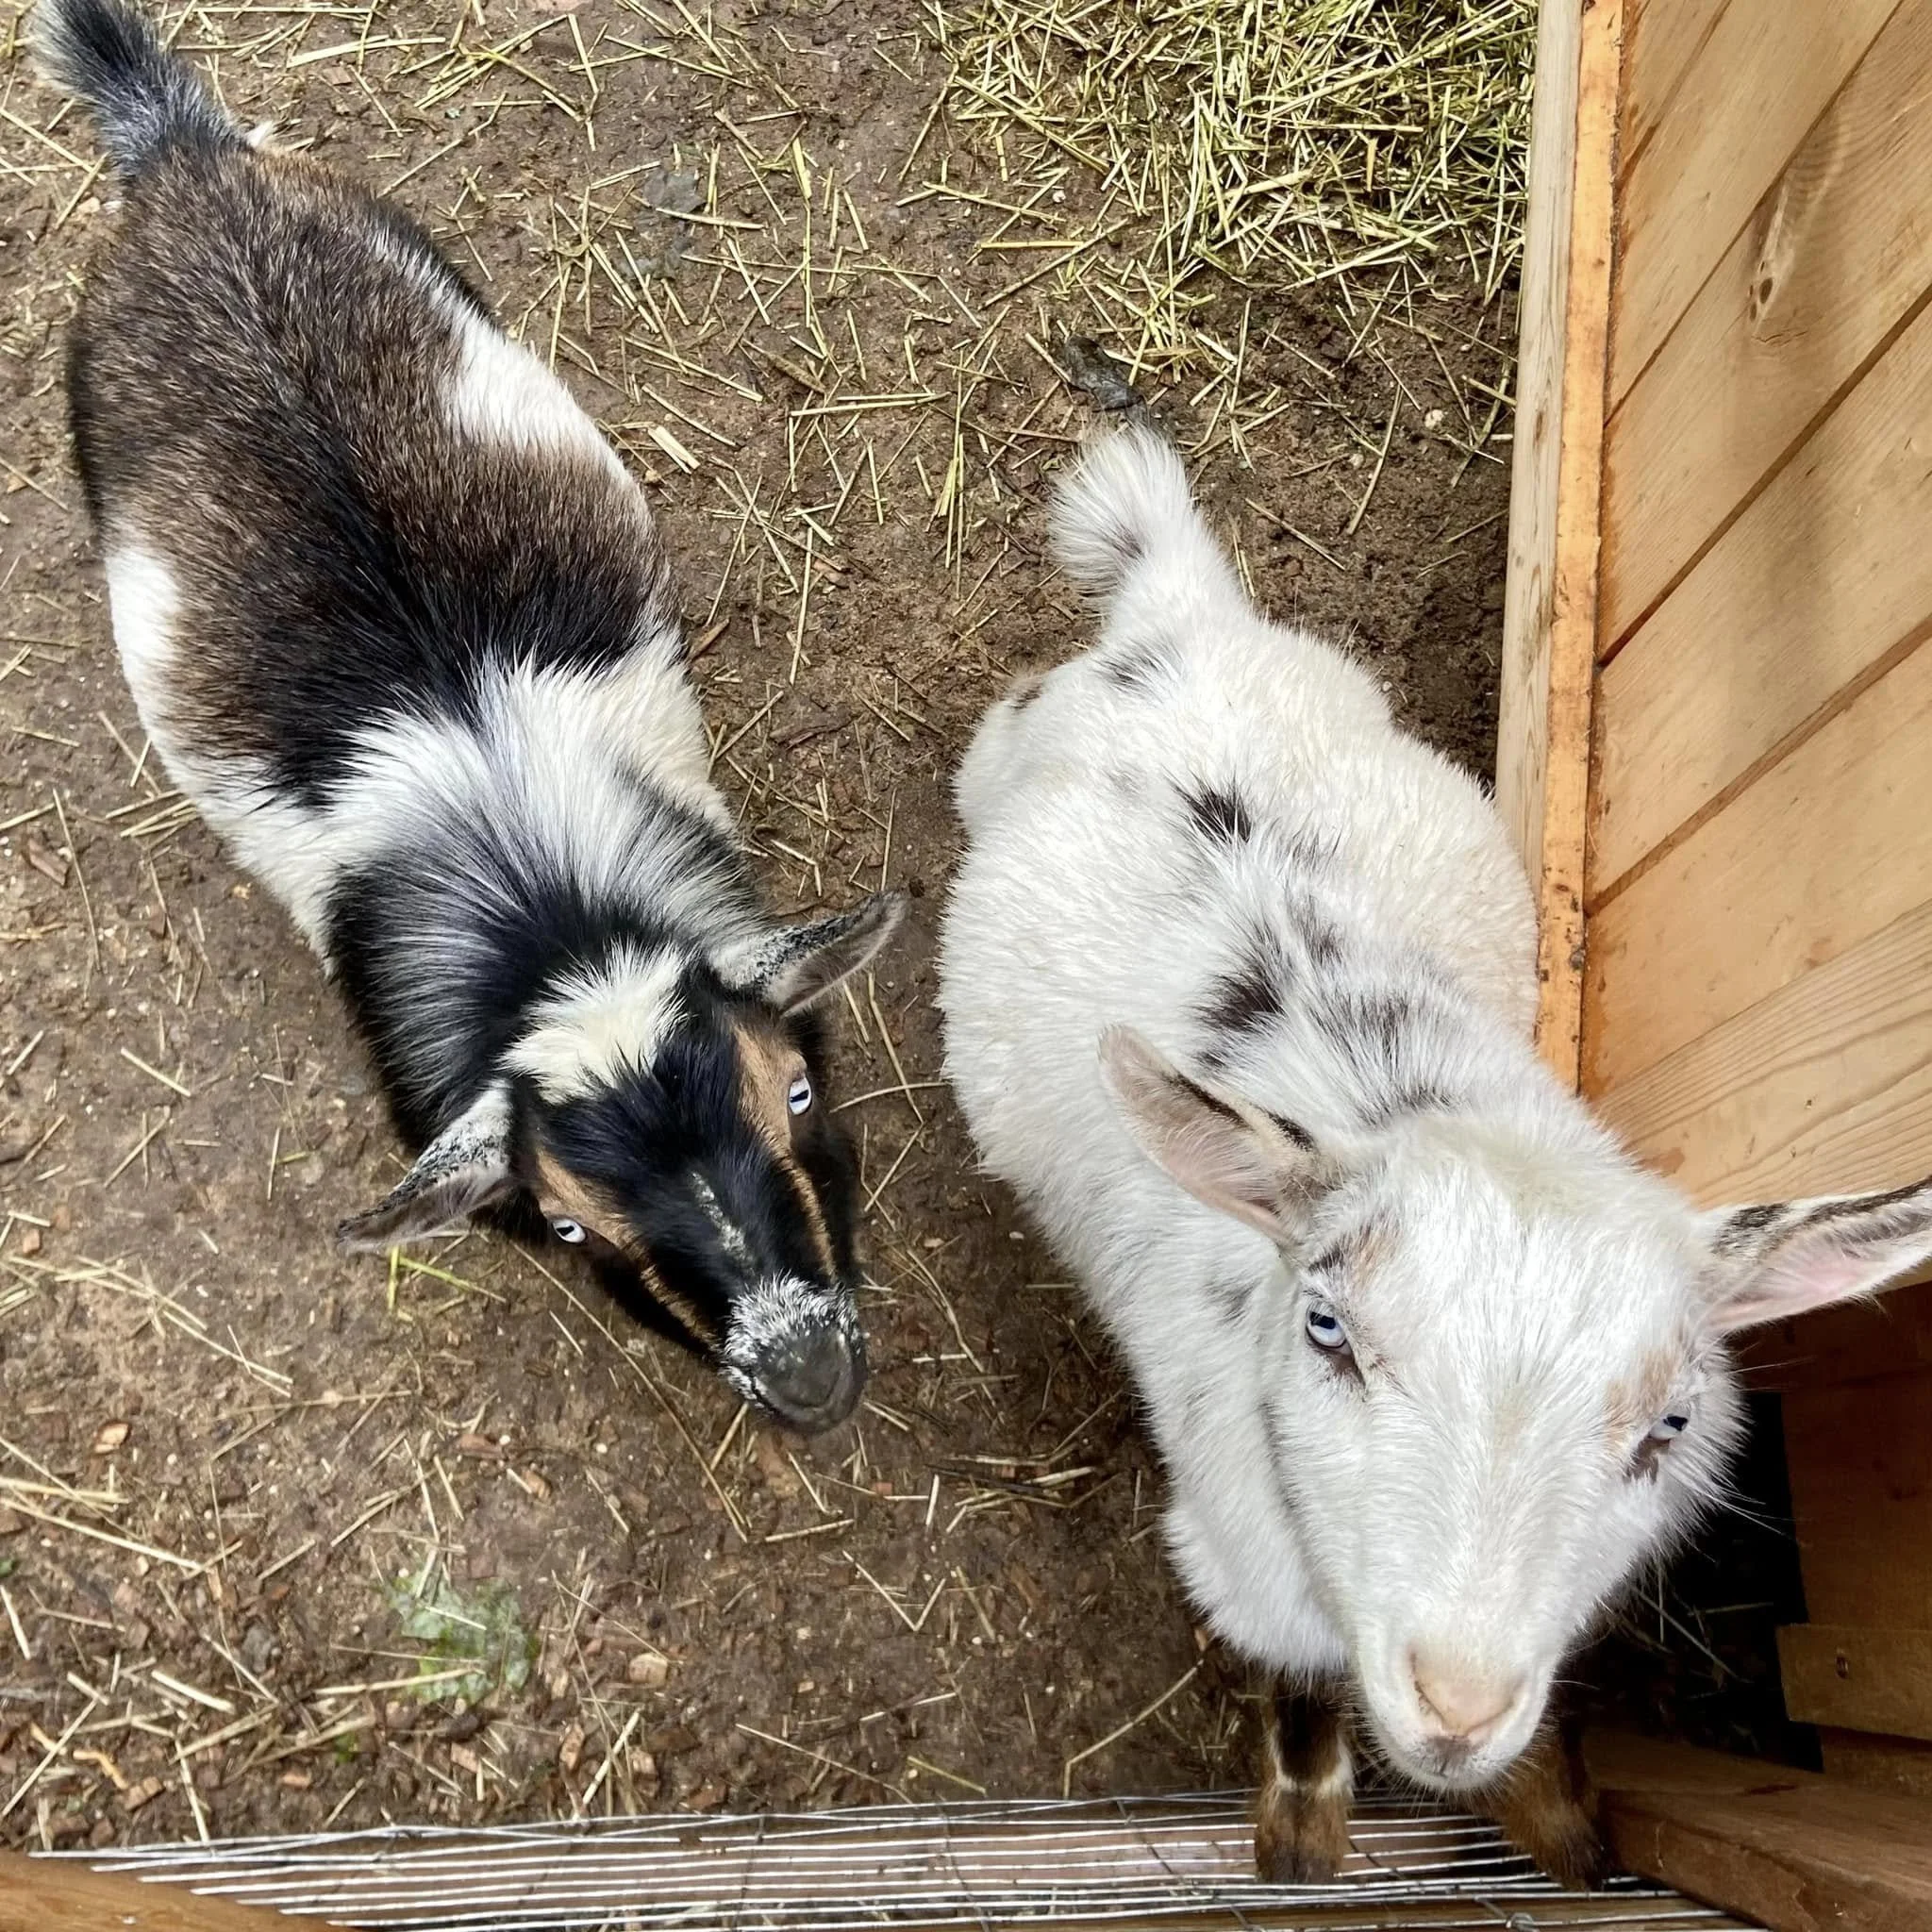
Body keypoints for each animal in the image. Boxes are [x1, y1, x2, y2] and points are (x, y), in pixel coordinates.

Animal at [937, 422, 1932, 1878]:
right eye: (1328, 1330)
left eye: (1671, 1420)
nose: (1457, 1702)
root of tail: (1182, 623)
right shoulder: (1241, 1563)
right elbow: (1296, 1694)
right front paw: (1302, 1834)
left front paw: (1557, 1817)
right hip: (1008, 744)